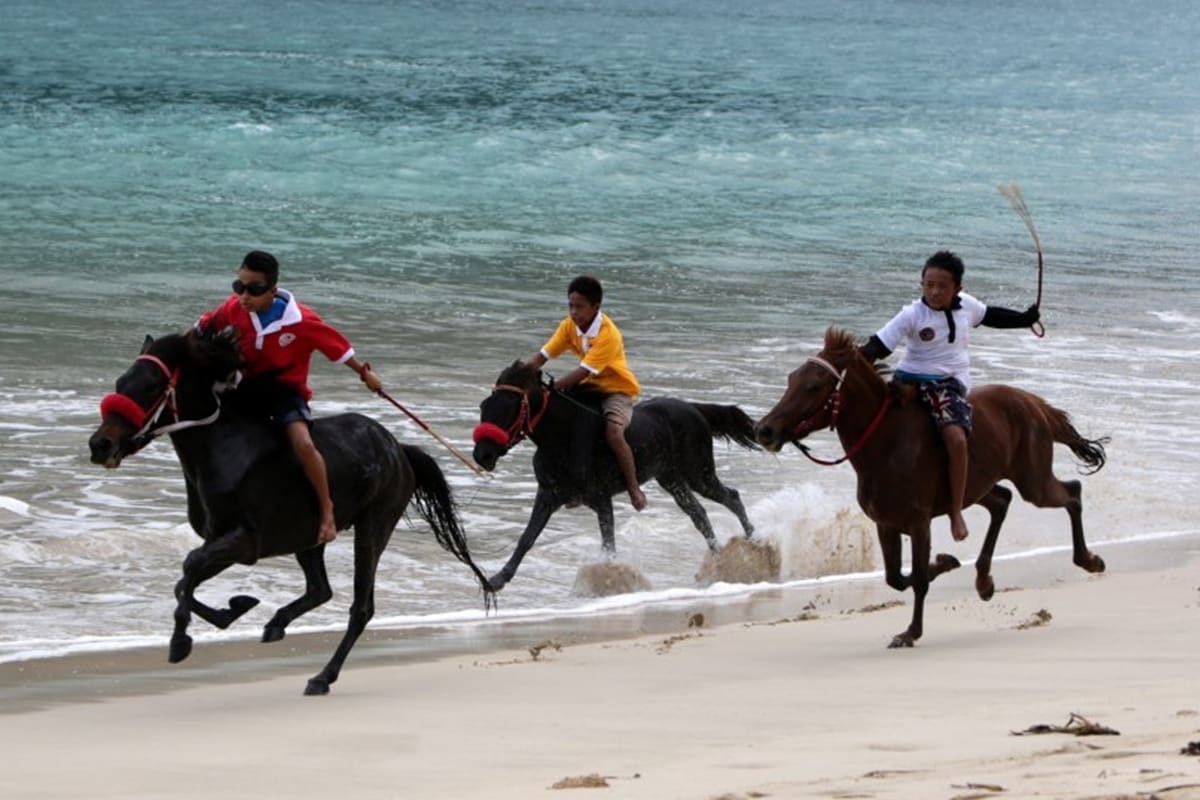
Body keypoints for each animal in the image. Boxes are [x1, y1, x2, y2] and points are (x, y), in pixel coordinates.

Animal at [87, 329, 494, 695]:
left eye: (151, 386)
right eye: (121, 381)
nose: (99, 444)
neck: (224, 447)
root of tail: (399, 448)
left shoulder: (244, 541)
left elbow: (189, 567)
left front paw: (182, 640)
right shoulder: (224, 541)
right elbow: (184, 579)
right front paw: (235, 608)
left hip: (373, 529)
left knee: (360, 608)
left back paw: (322, 677)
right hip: (309, 539)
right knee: (321, 589)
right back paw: (276, 624)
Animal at [471, 360, 760, 591]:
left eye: (511, 407)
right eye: (484, 405)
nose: (482, 455)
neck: (561, 438)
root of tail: (693, 408)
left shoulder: (601, 498)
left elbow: (608, 545)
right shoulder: (547, 495)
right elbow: (527, 538)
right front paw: (497, 580)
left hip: (698, 473)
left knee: (731, 497)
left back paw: (754, 544)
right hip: (671, 478)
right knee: (698, 513)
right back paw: (719, 560)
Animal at [754, 327, 1108, 648]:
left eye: (813, 386)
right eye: (790, 379)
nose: (764, 430)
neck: (886, 443)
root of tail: (1033, 402)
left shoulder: (918, 522)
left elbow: (919, 580)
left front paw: (911, 632)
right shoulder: (886, 523)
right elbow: (896, 578)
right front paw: (945, 563)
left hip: (1033, 481)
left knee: (1072, 493)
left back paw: (1088, 560)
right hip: (977, 487)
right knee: (1003, 500)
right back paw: (984, 581)